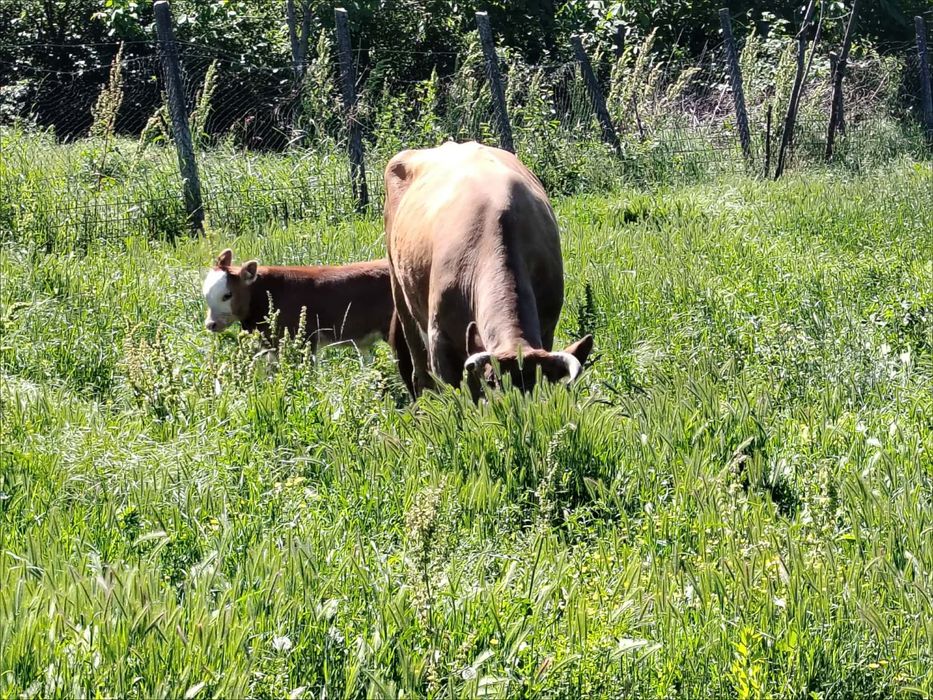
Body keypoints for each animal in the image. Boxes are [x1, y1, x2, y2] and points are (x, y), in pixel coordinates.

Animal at [383, 141, 593, 399]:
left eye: (536, 387)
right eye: (495, 383)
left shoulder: (547, 328)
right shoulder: (440, 339)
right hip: (400, 292)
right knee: (421, 375)